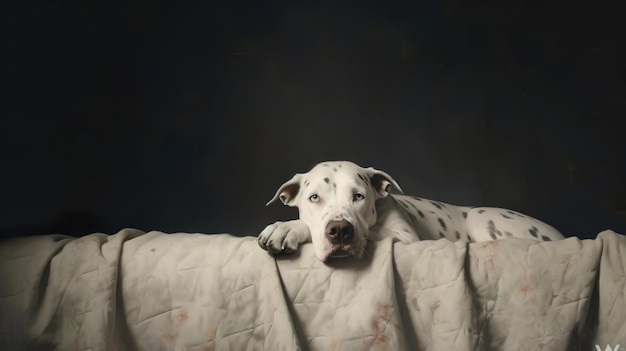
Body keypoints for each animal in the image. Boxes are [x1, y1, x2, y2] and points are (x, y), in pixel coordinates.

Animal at [256, 162, 564, 262]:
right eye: (314, 198)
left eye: (359, 196)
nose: (341, 231)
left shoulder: (404, 238)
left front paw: (288, 228)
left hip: (480, 216)